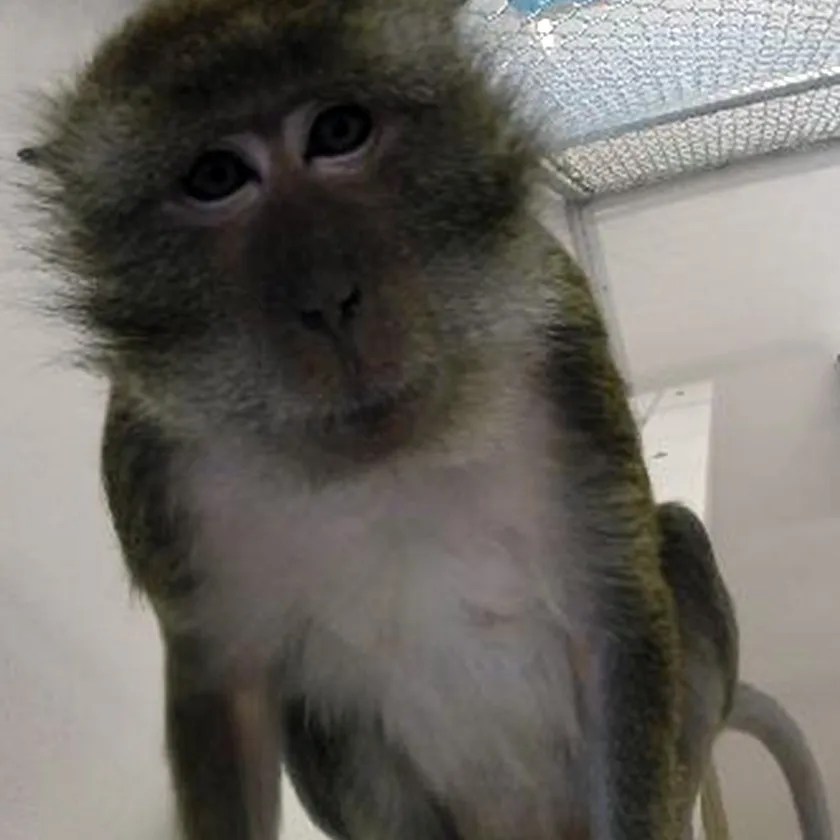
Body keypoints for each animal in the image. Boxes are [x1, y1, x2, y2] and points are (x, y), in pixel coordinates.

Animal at [24, 1, 832, 838]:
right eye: (216, 177)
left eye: (338, 131)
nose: (327, 298)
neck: (389, 456)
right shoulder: (148, 463)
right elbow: (231, 693)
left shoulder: (562, 344)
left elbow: (610, 614)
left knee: (676, 535)